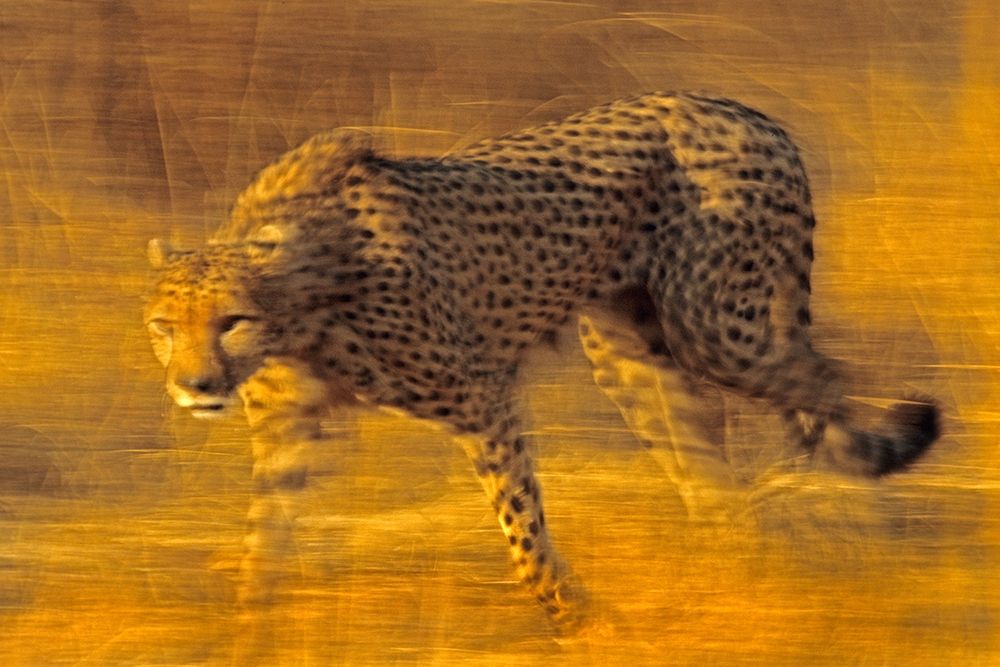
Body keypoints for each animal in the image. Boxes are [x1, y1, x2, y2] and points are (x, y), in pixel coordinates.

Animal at [144, 92, 940, 630]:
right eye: (162, 326)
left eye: (231, 321)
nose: (195, 386)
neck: (302, 304)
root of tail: (742, 111)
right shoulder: (288, 430)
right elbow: (264, 543)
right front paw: (250, 627)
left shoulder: (481, 398)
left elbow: (521, 529)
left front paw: (571, 618)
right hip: (633, 356)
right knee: (715, 481)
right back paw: (731, 577)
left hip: (719, 332)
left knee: (830, 383)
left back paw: (865, 531)